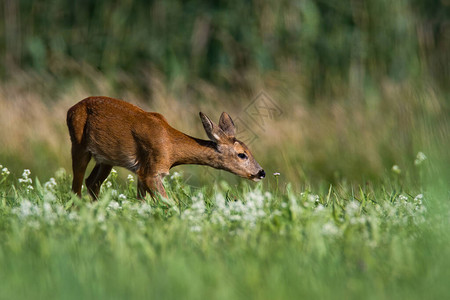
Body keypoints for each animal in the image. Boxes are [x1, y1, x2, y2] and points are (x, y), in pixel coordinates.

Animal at [66, 96, 264, 199]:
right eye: (242, 154)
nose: (261, 172)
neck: (172, 150)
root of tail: (70, 109)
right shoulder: (151, 171)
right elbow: (168, 202)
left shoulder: (141, 171)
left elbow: (142, 202)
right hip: (78, 144)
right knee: (76, 186)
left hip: (106, 159)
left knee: (91, 182)